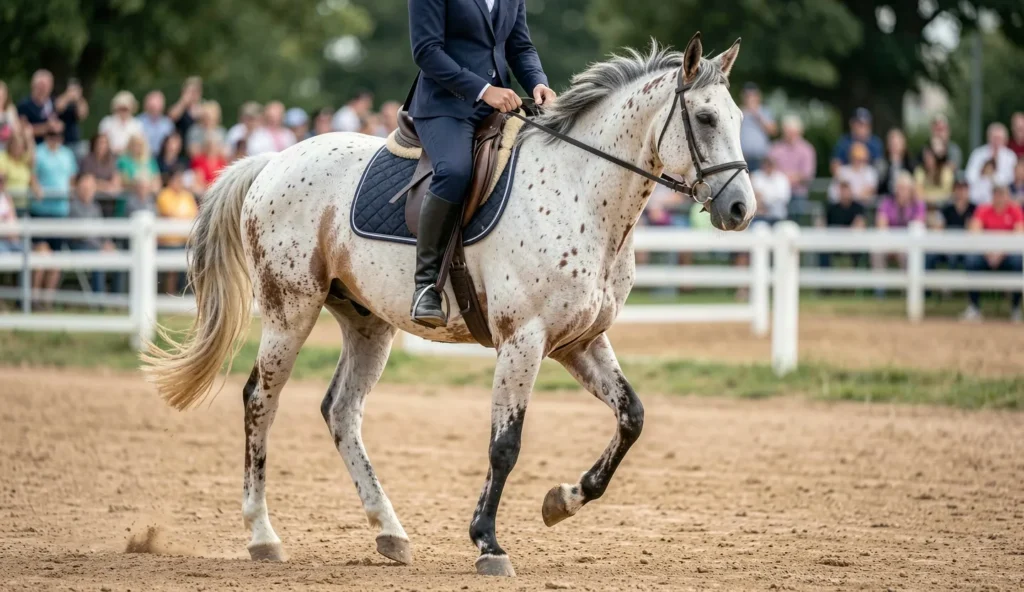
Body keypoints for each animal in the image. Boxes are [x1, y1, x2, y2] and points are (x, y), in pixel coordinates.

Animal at [143, 33, 754, 577]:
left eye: (738, 120)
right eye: (705, 119)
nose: (741, 209)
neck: (579, 191)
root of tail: (273, 161)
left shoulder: (579, 341)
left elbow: (632, 417)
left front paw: (562, 500)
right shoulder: (524, 340)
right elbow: (505, 444)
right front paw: (488, 542)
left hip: (368, 323)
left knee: (341, 410)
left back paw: (389, 531)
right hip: (289, 310)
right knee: (259, 401)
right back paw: (262, 535)